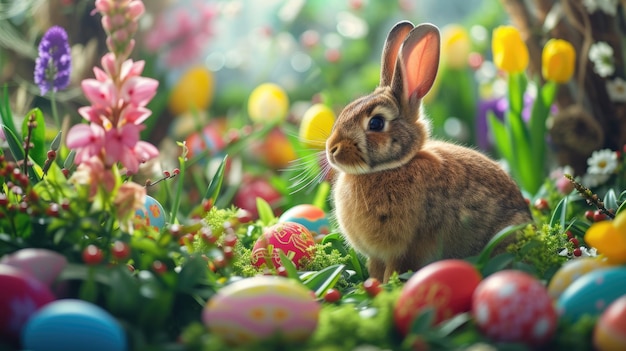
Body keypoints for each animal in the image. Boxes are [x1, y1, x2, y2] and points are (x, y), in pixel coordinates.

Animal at [324, 21, 528, 284]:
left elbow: (394, 270)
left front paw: (388, 287)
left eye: (376, 123)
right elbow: (375, 270)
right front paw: (372, 284)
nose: (332, 149)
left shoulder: (406, 249)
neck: (394, 167)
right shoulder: (377, 256)